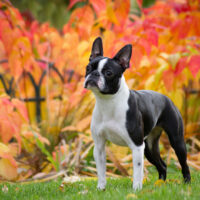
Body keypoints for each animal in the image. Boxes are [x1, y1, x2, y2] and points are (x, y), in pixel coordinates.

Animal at [83, 37, 190, 191]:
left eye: (108, 73)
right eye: (88, 68)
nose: (94, 74)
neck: (108, 102)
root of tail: (167, 98)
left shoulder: (137, 146)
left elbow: (137, 170)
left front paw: (137, 189)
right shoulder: (99, 146)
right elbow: (101, 170)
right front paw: (101, 188)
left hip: (176, 141)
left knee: (184, 164)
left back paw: (187, 183)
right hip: (149, 146)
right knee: (162, 165)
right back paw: (160, 184)